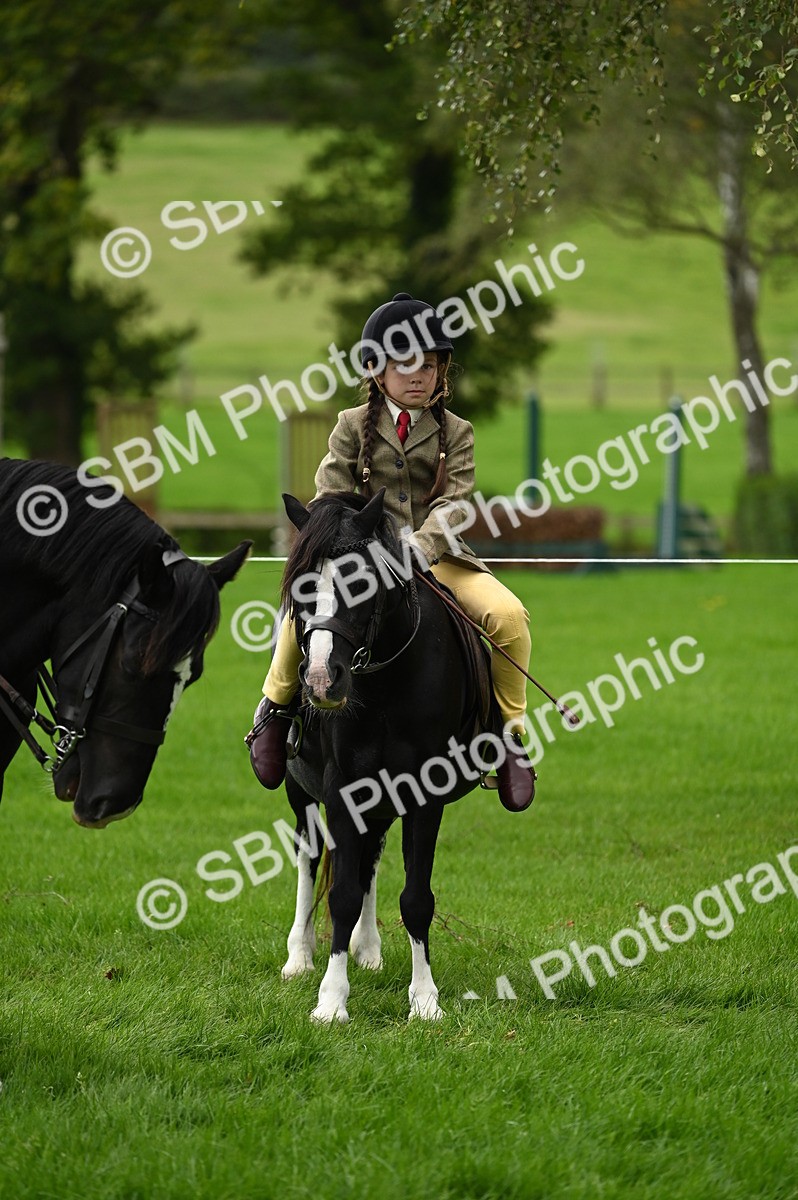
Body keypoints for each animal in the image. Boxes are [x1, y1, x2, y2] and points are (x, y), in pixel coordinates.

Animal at [276, 488, 502, 1023]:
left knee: (371, 859)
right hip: (300, 791)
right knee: (309, 858)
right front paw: (331, 1001)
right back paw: (300, 956)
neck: (383, 683)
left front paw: (424, 999)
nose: (321, 680)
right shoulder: (340, 788)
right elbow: (340, 893)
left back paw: (369, 948)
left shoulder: (424, 792)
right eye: (299, 587)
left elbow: (415, 897)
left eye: (360, 582)